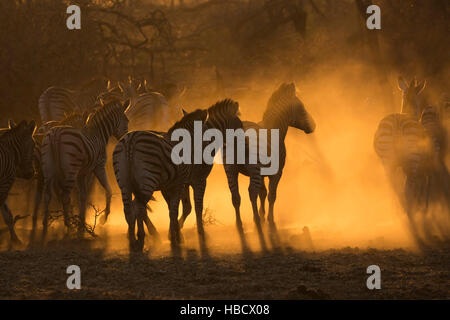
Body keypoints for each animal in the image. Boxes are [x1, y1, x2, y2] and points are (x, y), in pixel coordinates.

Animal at [40, 99, 130, 239]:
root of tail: (56, 134)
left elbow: (83, 195)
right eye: (127, 121)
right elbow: (108, 190)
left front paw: (82, 222)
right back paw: (68, 225)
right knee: (64, 196)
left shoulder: (81, 173)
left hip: (48, 169)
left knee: (48, 195)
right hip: (71, 170)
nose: (125, 139)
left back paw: (45, 224)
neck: (99, 134)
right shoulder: (99, 166)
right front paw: (103, 218)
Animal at [114, 109, 209, 254]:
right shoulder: (179, 183)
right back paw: (141, 238)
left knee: (129, 209)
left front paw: (175, 235)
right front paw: (176, 238)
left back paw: (132, 241)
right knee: (140, 208)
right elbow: (175, 210)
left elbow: (173, 209)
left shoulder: (169, 185)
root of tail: (131, 139)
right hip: (147, 179)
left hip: (124, 183)